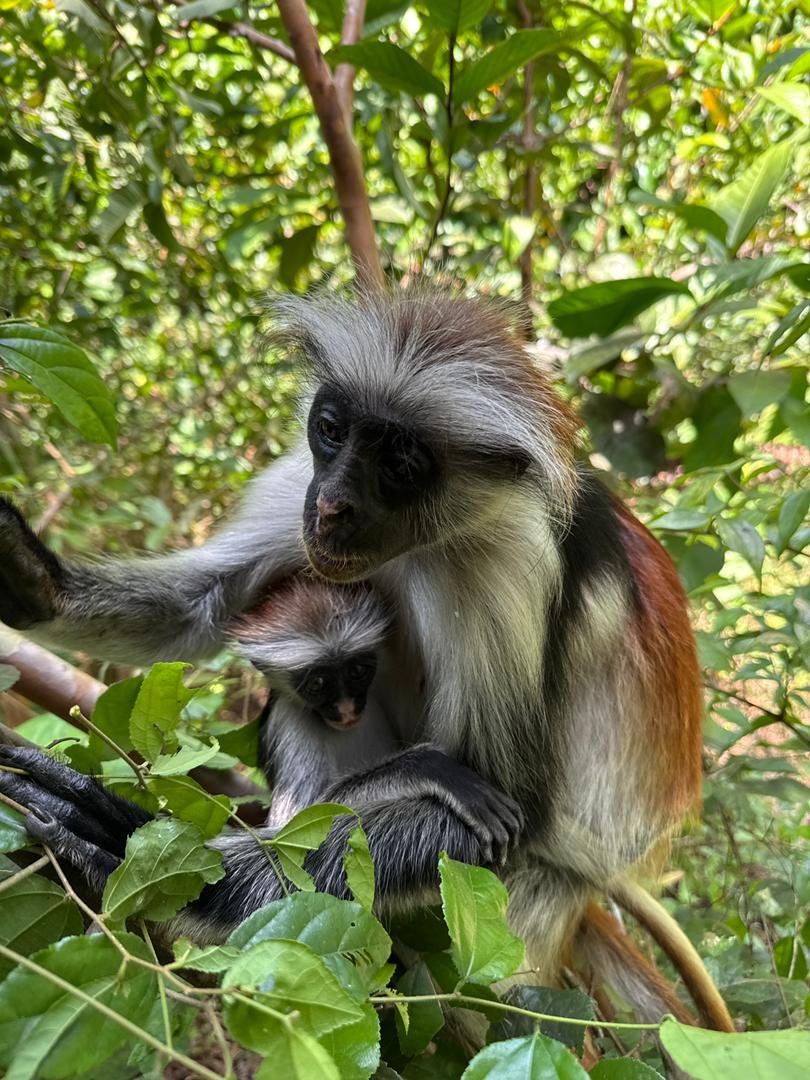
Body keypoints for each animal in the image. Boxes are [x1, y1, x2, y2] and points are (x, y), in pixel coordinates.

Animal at [0, 289, 733, 1028]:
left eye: (402, 464)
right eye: (332, 430)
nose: (332, 506)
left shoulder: (511, 562)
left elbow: (512, 815)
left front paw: (171, 871)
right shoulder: (299, 482)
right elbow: (201, 611)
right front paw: (31, 581)